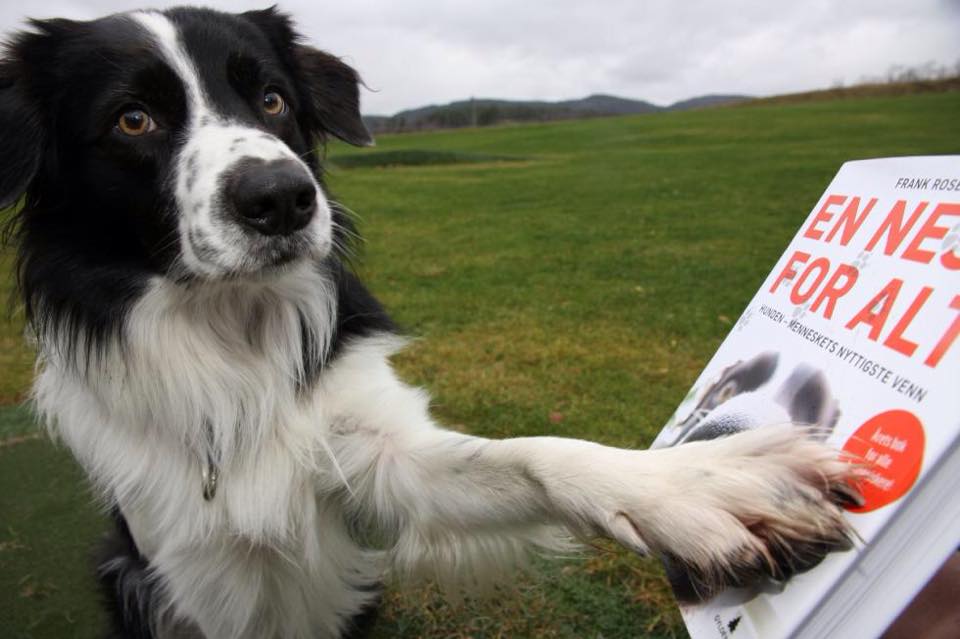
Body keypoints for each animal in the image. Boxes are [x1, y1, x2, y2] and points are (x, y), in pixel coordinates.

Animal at [3, 6, 864, 639]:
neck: (232, 336)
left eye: (273, 99)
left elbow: (535, 454)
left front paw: (697, 484)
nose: (283, 197)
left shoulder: (378, 460)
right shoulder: (195, 567)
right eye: (132, 119)